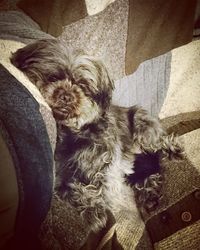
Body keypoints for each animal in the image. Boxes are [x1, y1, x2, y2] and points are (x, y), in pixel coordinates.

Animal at [10, 39, 184, 232]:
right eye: (53, 77)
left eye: (83, 86)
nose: (66, 95)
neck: (75, 133)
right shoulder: (60, 178)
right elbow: (73, 189)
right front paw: (94, 211)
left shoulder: (109, 161)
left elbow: (106, 182)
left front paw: (107, 201)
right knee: (147, 176)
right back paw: (149, 196)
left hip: (141, 124)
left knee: (159, 143)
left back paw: (173, 151)